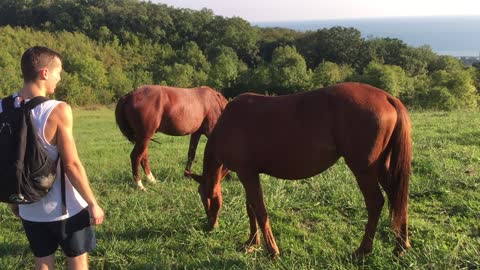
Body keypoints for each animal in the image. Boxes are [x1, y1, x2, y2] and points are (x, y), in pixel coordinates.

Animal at [189, 82, 410, 258]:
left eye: (204, 196)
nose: (210, 226)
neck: (229, 123)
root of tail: (387, 97)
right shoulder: (248, 175)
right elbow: (251, 208)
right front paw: (252, 242)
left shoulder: (247, 174)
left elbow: (259, 210)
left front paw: (272, 250)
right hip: (381, 168)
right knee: (397, 197)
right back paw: (400, 247)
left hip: (364, 170)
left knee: (376, 203)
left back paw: (363, 250)